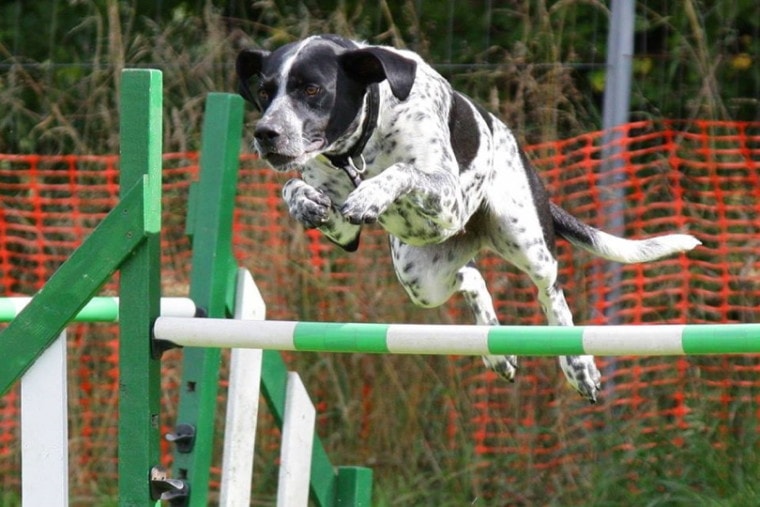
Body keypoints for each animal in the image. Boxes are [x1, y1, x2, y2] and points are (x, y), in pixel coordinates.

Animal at [233, 33, 700, 402]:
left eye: (313, 89)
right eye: (265, 92)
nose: (265, 133)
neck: (362, 146)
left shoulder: (448, 199)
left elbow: (401, 172)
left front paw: (372, 193)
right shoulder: (345, 230)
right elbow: (294, 188)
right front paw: (304, 201)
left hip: (527, 244)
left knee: (552, 295)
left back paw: (578, 366)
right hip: (420, 278)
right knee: (472, 276)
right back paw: (497, 352)